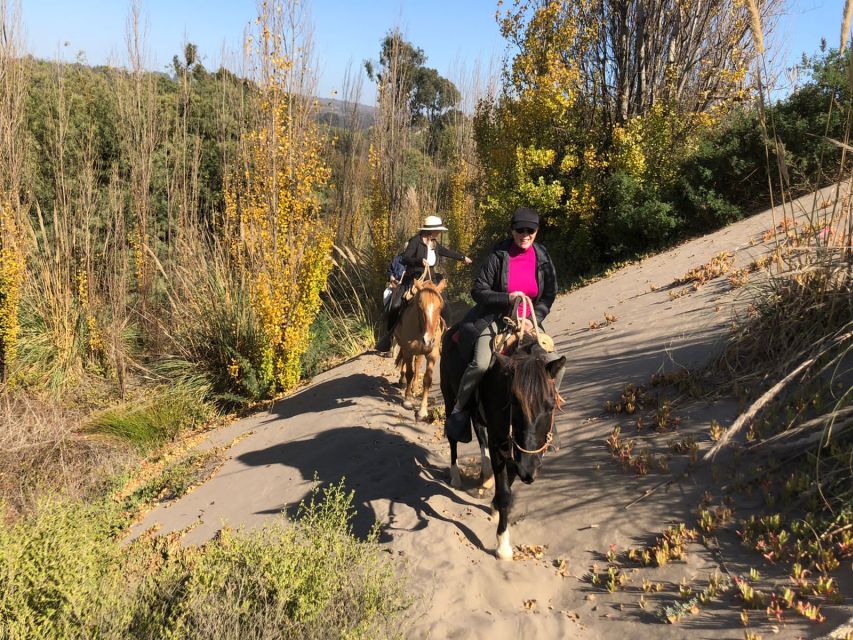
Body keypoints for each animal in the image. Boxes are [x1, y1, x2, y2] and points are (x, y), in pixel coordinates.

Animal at [392, 276, 446, 418]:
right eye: (420, 306)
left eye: (440, 307)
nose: (428, 340)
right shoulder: (408, 350)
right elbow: (409, 372)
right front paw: (407, 400)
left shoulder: (432, 354)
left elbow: (427, 379)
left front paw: (422, 410)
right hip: (404, 346)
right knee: (405, 362)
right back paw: (403, 380)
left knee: (417, 363)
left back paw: (415, 386)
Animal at [440, 324, 564, 560]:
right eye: (514, 402)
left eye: (551, 406)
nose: (530, 472)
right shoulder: (500, 442)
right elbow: (506, 492)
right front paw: (503, 545)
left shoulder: (516, 451)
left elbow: (510, 476)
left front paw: (494, 504)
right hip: (450, 398)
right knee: (453, 437)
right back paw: (456, 477)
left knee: (480, 433)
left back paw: (485, 475)